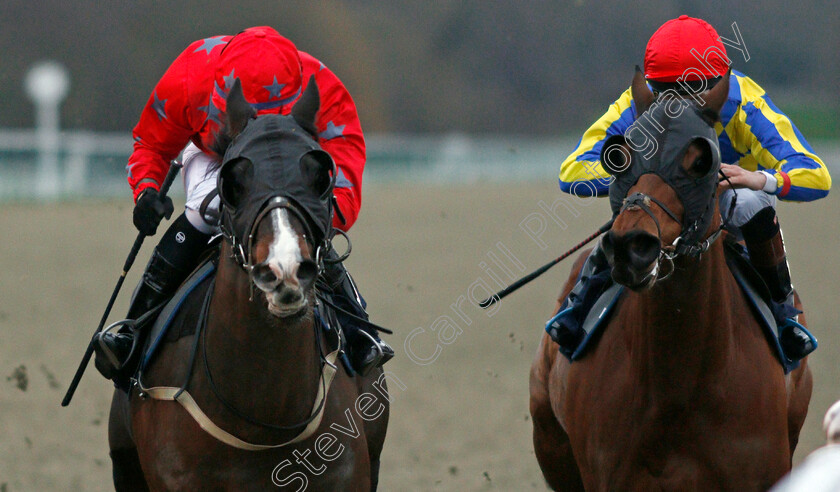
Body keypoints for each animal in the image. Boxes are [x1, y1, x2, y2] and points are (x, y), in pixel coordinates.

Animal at [106, 79, 390, 490]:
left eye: (320, 178)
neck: (261, 415)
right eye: (233, 183)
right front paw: (149, 207)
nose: (284, 270)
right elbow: (152, 141)